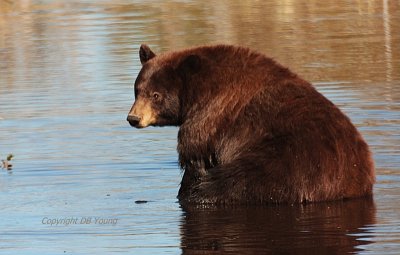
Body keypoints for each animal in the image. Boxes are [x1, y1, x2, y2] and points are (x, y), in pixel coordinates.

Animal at [126, 42, 376, 204]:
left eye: (156, 95)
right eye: (137, 90)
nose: (133, 118)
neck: (199, 94)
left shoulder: (210, 119)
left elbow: (195, 154)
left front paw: (189, 185)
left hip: (288, 161)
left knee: (238, 181)